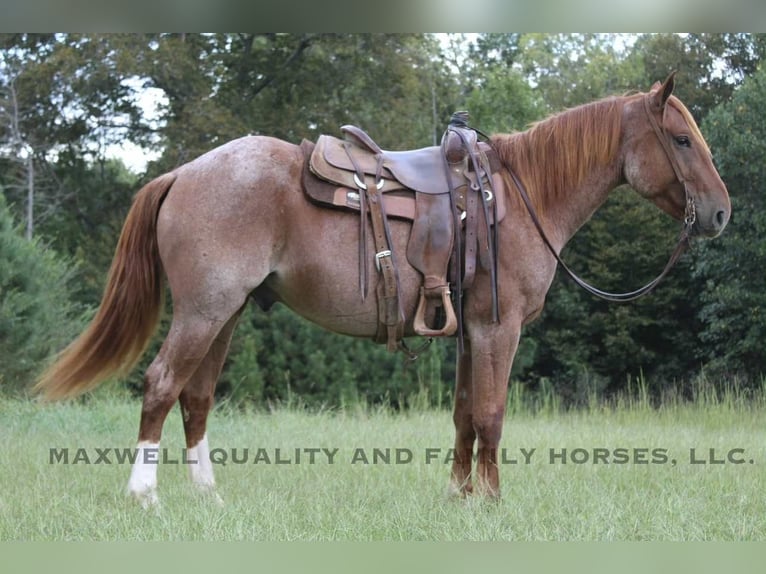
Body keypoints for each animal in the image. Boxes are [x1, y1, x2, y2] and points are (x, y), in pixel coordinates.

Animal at [35, 73, 730, 507]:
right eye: (680, 139)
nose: (721, 213)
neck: (516, 197)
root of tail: (183, 172)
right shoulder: (497, 329)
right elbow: (492, 414)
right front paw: (493, 501)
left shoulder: (468, 331)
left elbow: (463, 414)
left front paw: (458, 497)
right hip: (204, 313)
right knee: (160, 385)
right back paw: (143, 496)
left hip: (224, 315)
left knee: (196, 396)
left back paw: (209, 497)